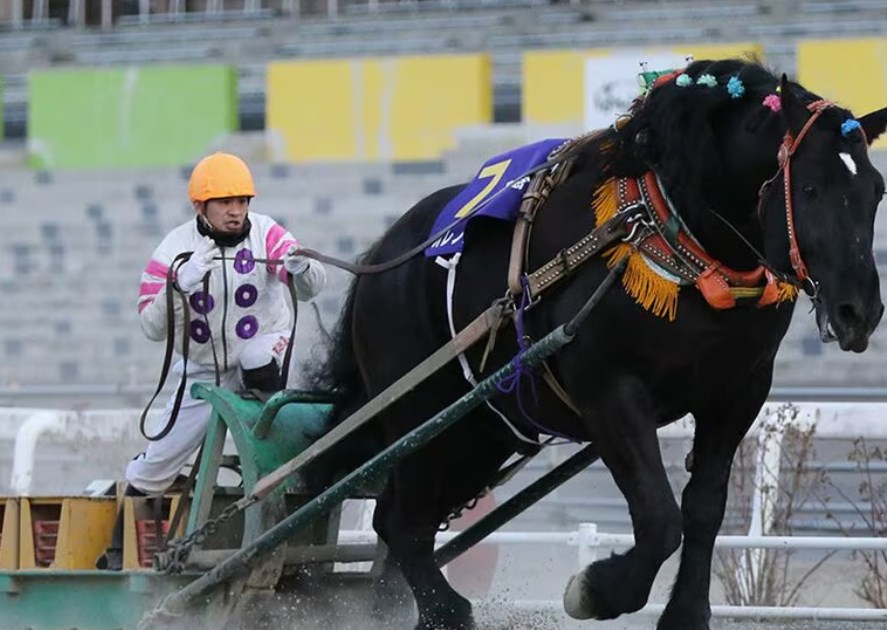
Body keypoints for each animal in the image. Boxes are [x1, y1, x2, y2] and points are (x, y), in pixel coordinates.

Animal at [310, 60, 887, 630]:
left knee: (404, 522)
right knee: (402, 522)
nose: (860, 310)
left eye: (876, 190)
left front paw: (684, 613)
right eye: (809, 188)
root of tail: (382, 258)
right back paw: (447, 611)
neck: (667, 229)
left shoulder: (737, 394)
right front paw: (597, 590)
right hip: (421, 418)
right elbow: (659, 517)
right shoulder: (610, 392)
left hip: (482, 431)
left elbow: (703, 508)